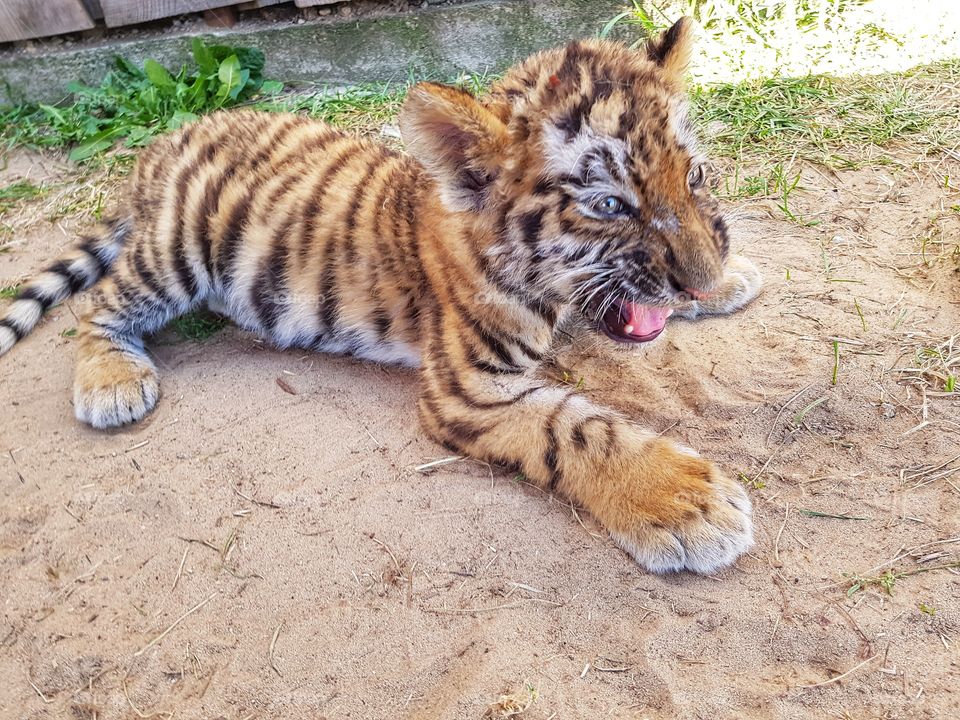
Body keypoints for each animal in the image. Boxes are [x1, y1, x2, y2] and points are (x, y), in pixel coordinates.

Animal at [0, 18, 762, 574]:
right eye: (609, 205)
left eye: (694, 176)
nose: (700, 276)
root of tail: (166, 142)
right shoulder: (468, 388)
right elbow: (577, 428)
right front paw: (685, 502)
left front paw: (731, 278)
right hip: (176, 252)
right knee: (98, 306)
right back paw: (112, 383)